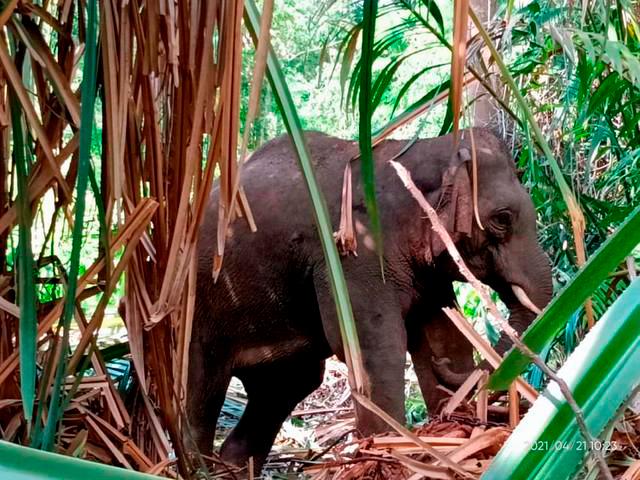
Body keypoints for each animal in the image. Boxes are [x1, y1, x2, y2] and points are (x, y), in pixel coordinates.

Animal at [188, 128, 553, 472]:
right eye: (503, 218)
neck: (421, 150)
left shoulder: (425, 271)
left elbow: (441, 335)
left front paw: (449, 429)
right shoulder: (352, 253)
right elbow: (374, 344)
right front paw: (387, 453)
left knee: (289, 385)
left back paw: (231, 468)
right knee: (203, 387)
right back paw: (197, 467)